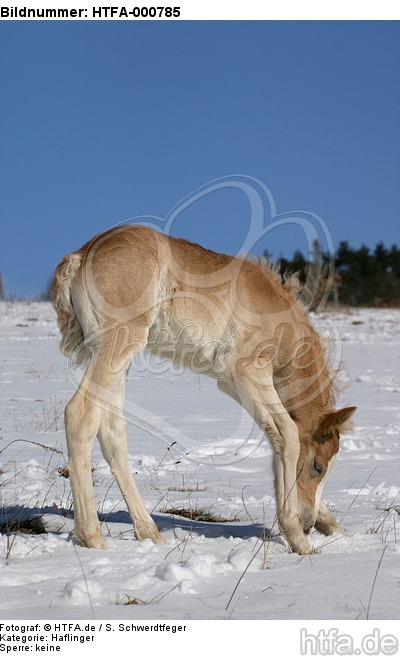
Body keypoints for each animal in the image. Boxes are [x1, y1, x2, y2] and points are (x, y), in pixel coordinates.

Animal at [51, 226, 354, 552]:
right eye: (318, 466)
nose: (309, 523)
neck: (275, 311)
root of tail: (80, 256)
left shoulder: (231, 383)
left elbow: (277, 439)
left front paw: (332, 526)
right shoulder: (249, 372)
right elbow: (287, 433)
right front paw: (297, 537)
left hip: (118, 358)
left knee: (111, 431)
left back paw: (149, 532)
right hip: (118, 344)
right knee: (80, 414)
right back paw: (92, 536)